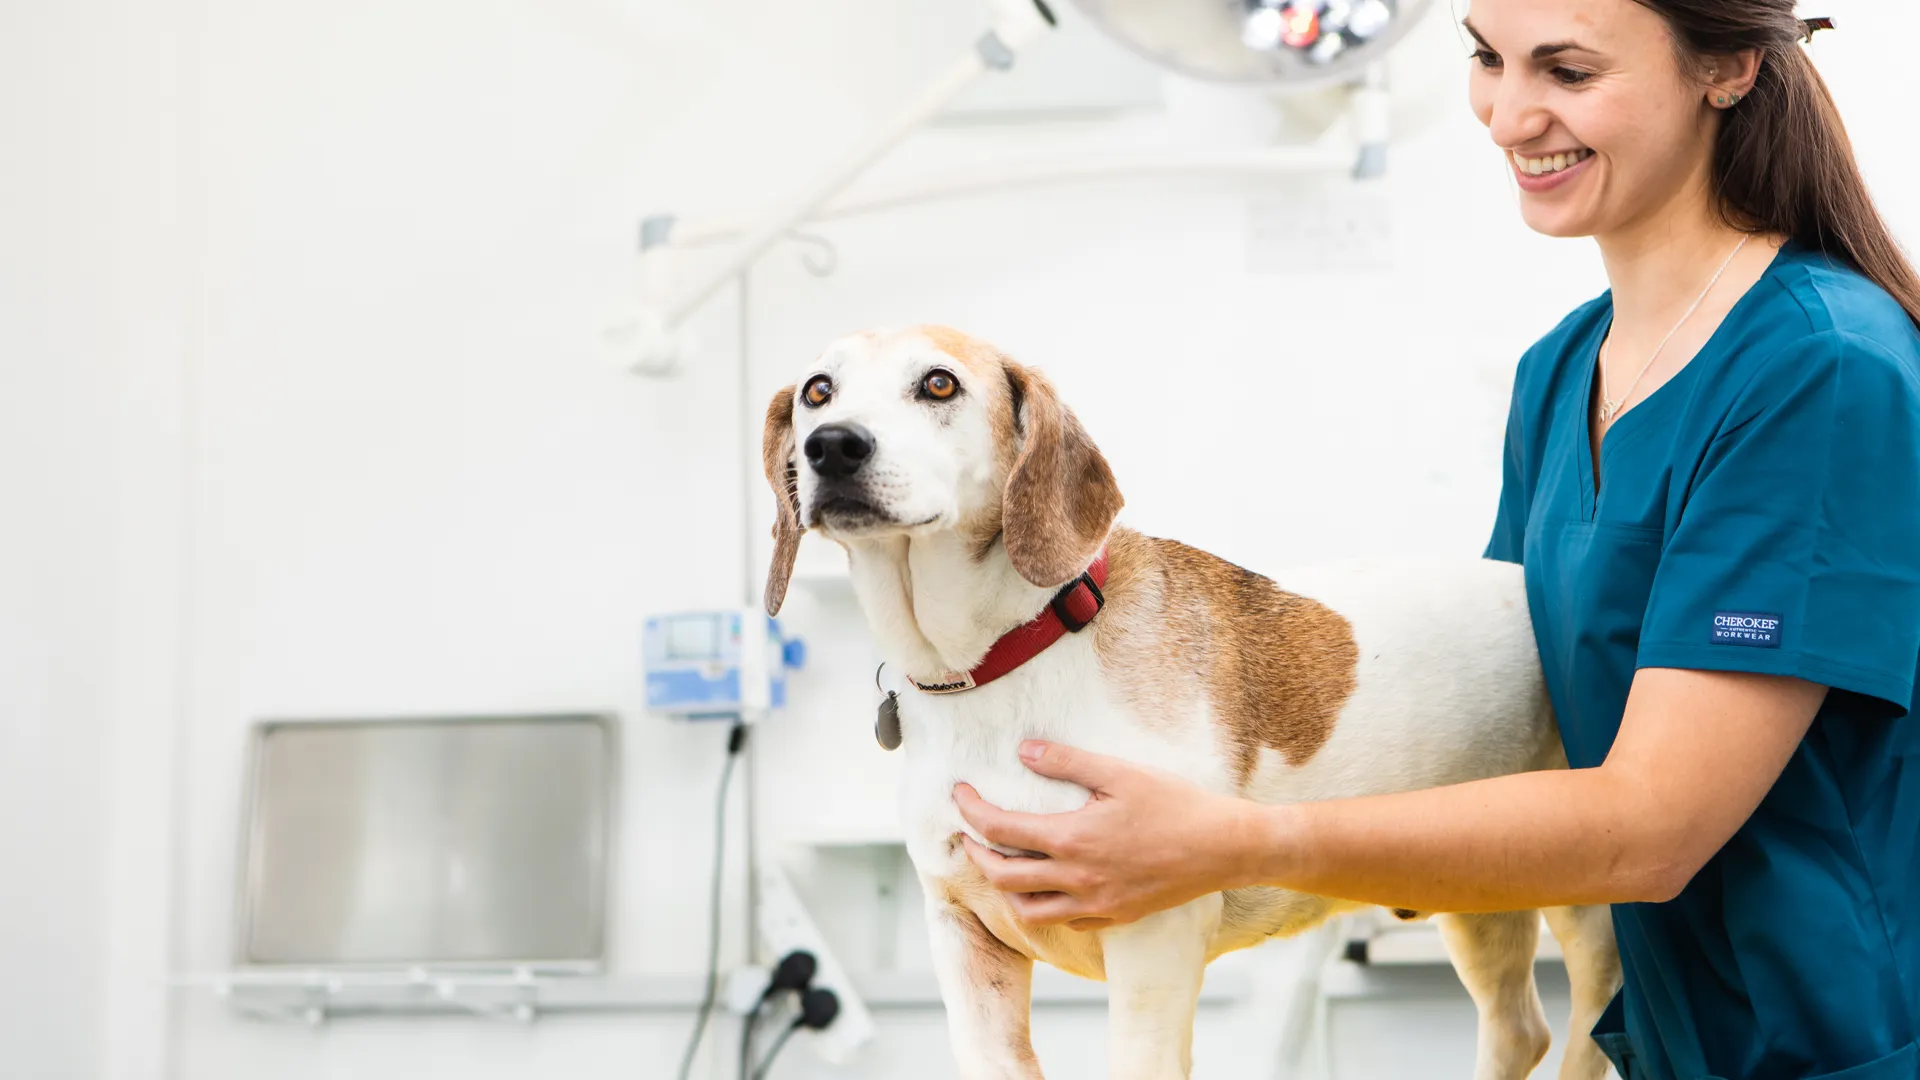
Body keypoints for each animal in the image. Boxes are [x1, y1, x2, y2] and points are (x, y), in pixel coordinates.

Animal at [760, 326, 1620, 1076]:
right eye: (818, 391)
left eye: (938, 384)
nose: (832, 444)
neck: (1003, 659)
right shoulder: (964, 937)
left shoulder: (1153, 940)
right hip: (1477, 892)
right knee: (1518, 1030)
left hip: (1587, 897)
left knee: (1596, 1017)